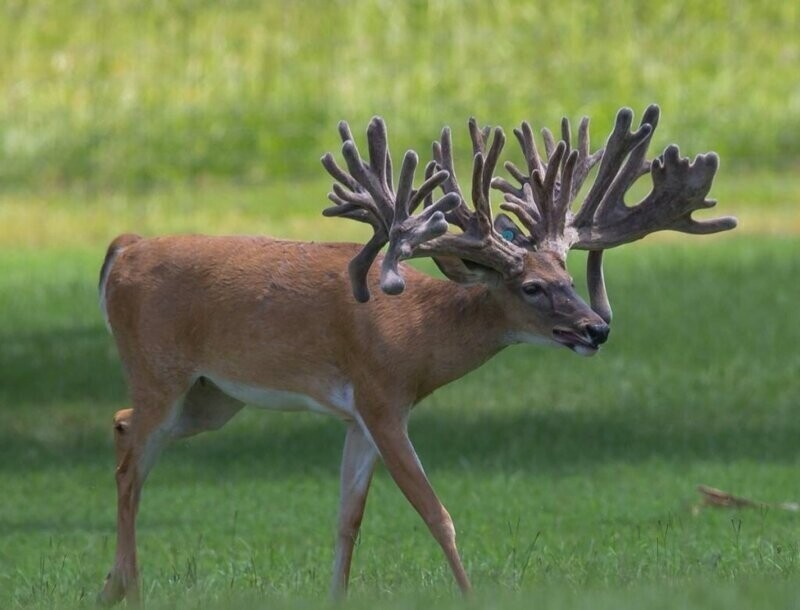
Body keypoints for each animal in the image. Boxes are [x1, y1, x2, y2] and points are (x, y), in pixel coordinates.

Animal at [95, 104, 736, 604]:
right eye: (532, 286)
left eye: (570, 276)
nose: (595, 328)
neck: (418, 335)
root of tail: (125, 247)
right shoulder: (381, 398)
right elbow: (436, 514)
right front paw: (471, 595)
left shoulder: (359, 416)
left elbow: (347, 519)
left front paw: (336, 597)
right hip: (158, 370)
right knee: (130, 456)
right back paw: (131, 587)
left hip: (213, 398)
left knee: (122, 426)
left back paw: (110, 585)